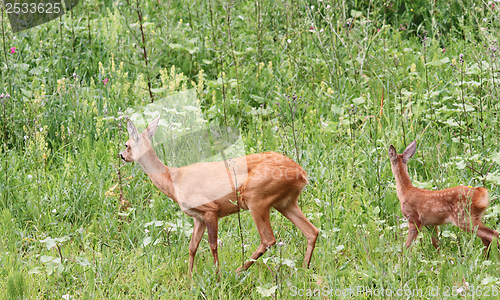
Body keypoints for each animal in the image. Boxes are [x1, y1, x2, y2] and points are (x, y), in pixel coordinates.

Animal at [119, 116, 318, 276]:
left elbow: (212, 245)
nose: (121, 155)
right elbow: (192, 247)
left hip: (256, 197)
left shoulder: (210, 209)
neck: (173, 180)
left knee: (269, 239)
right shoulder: (197, 217)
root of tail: (301, 173)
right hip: (285, 202)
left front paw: (217, 275)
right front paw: (190, 277)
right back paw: (304, 270)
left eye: (127, 144)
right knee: (312, 231)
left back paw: (238, 271)